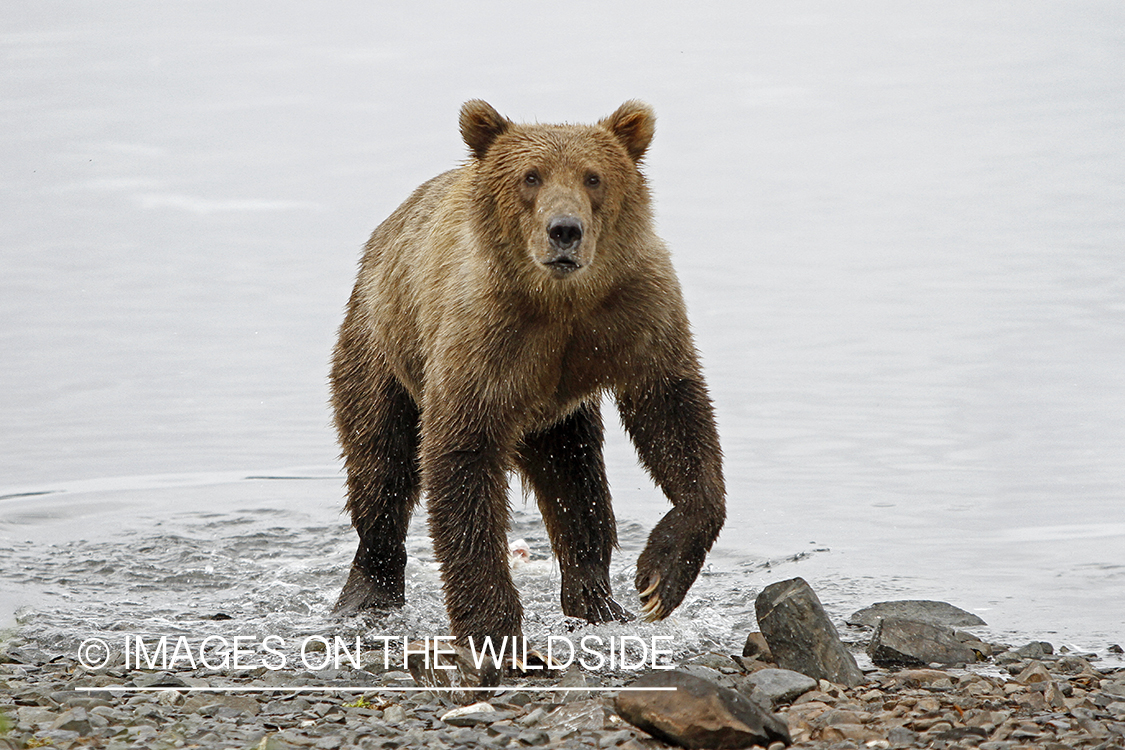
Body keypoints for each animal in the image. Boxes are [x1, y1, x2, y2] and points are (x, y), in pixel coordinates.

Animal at [328, 99, 724, 647]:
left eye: (593, 177)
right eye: (530, 176)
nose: (565, 230)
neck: (560, 301)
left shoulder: (637, 312)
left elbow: (674, 413)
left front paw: (658, 578)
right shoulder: (484, 338)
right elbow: (462, 459)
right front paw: (491, 624)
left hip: (559, 418)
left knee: (577, 482)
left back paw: (597, 600)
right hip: (380, 343)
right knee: (379, 461)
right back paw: (367, 590)